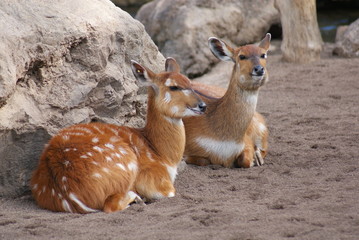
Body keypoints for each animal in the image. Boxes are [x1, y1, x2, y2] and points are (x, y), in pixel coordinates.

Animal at [32, 58, 207, 214]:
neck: (162, 155)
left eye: (190, 82)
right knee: (110, 205)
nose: (203, 105)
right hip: (125, 162)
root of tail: (68, 194)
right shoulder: (156, 180)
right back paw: (136, 198)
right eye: (174, 87)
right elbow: (169, 193)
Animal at [184, 33, 272, 168]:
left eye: (263, 55)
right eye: (242, 56)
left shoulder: (245, 140)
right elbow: (201, 160)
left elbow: (245, 160)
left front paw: (255, 159)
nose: (259, 69)